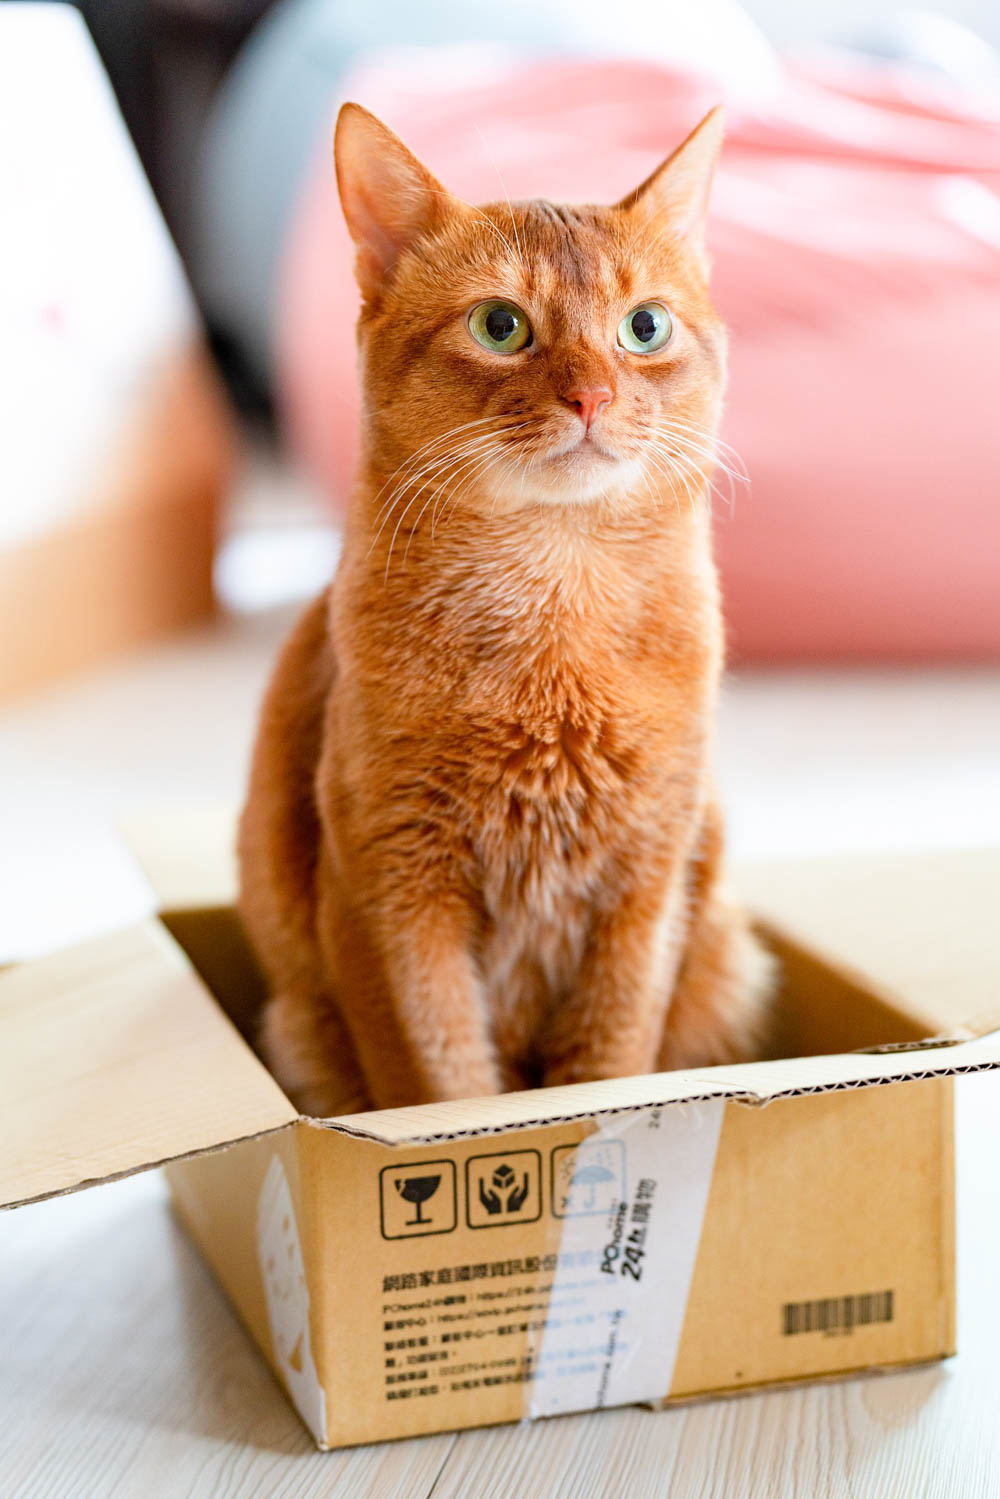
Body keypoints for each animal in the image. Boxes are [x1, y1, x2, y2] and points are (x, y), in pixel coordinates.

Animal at [236, 102, 773, 1115]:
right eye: (500, 325)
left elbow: (613, 1063)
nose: (592, 395)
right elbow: (441, 1083)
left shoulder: (650, 886)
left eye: (645, 327)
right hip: (297, 1020)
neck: (552, 609)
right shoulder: (388, 894)